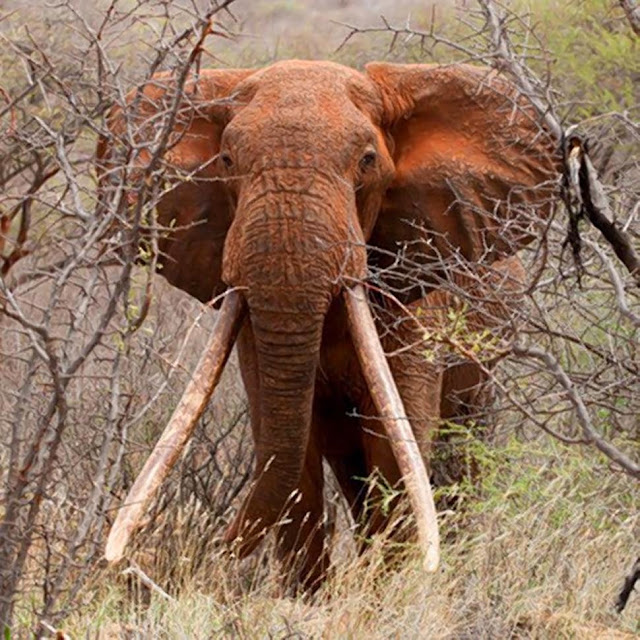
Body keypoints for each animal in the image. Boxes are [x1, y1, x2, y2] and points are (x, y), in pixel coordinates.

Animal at [97, 60, 558, 590]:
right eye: (227, 160)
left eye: (367, 161)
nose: (143, 563)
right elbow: (285, 452)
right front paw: (307, 599)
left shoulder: (417, 300)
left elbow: (397, 449)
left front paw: (386, 593)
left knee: (458, 453)